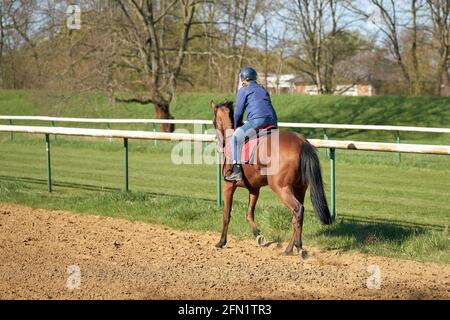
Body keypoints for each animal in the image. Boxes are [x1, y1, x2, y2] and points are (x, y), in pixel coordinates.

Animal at [209, 99, 332, 256]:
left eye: (214, 121)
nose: (218, 143)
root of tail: (301, 142)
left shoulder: (228, 185)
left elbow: (226, 215)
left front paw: (221, 242)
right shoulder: (254, 189)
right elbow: (249, 214)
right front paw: (258, 236)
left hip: (280, 187)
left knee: (298, 210)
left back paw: (297, 247)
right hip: (299, 188)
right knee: (296, 216)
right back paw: (289, 249)